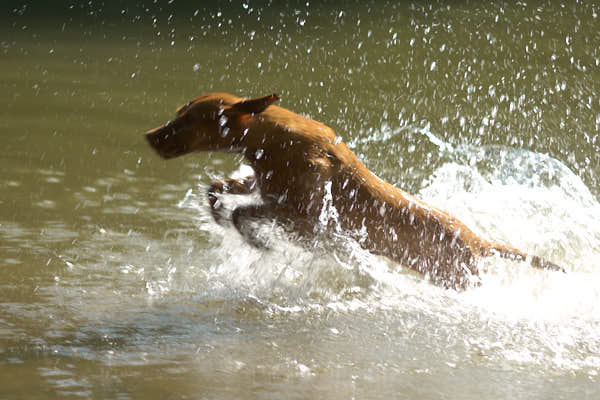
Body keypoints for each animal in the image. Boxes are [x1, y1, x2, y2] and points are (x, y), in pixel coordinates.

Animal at [146, 92, 564, 290]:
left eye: (189, 120)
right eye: (179, 112)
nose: (150, 135)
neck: (275, 138)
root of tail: (481, 241)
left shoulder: (308, 217)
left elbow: (242, 213)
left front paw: (256, 239)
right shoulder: (265, 186)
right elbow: (219, 191)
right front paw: (218, 210)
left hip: (460, 278)